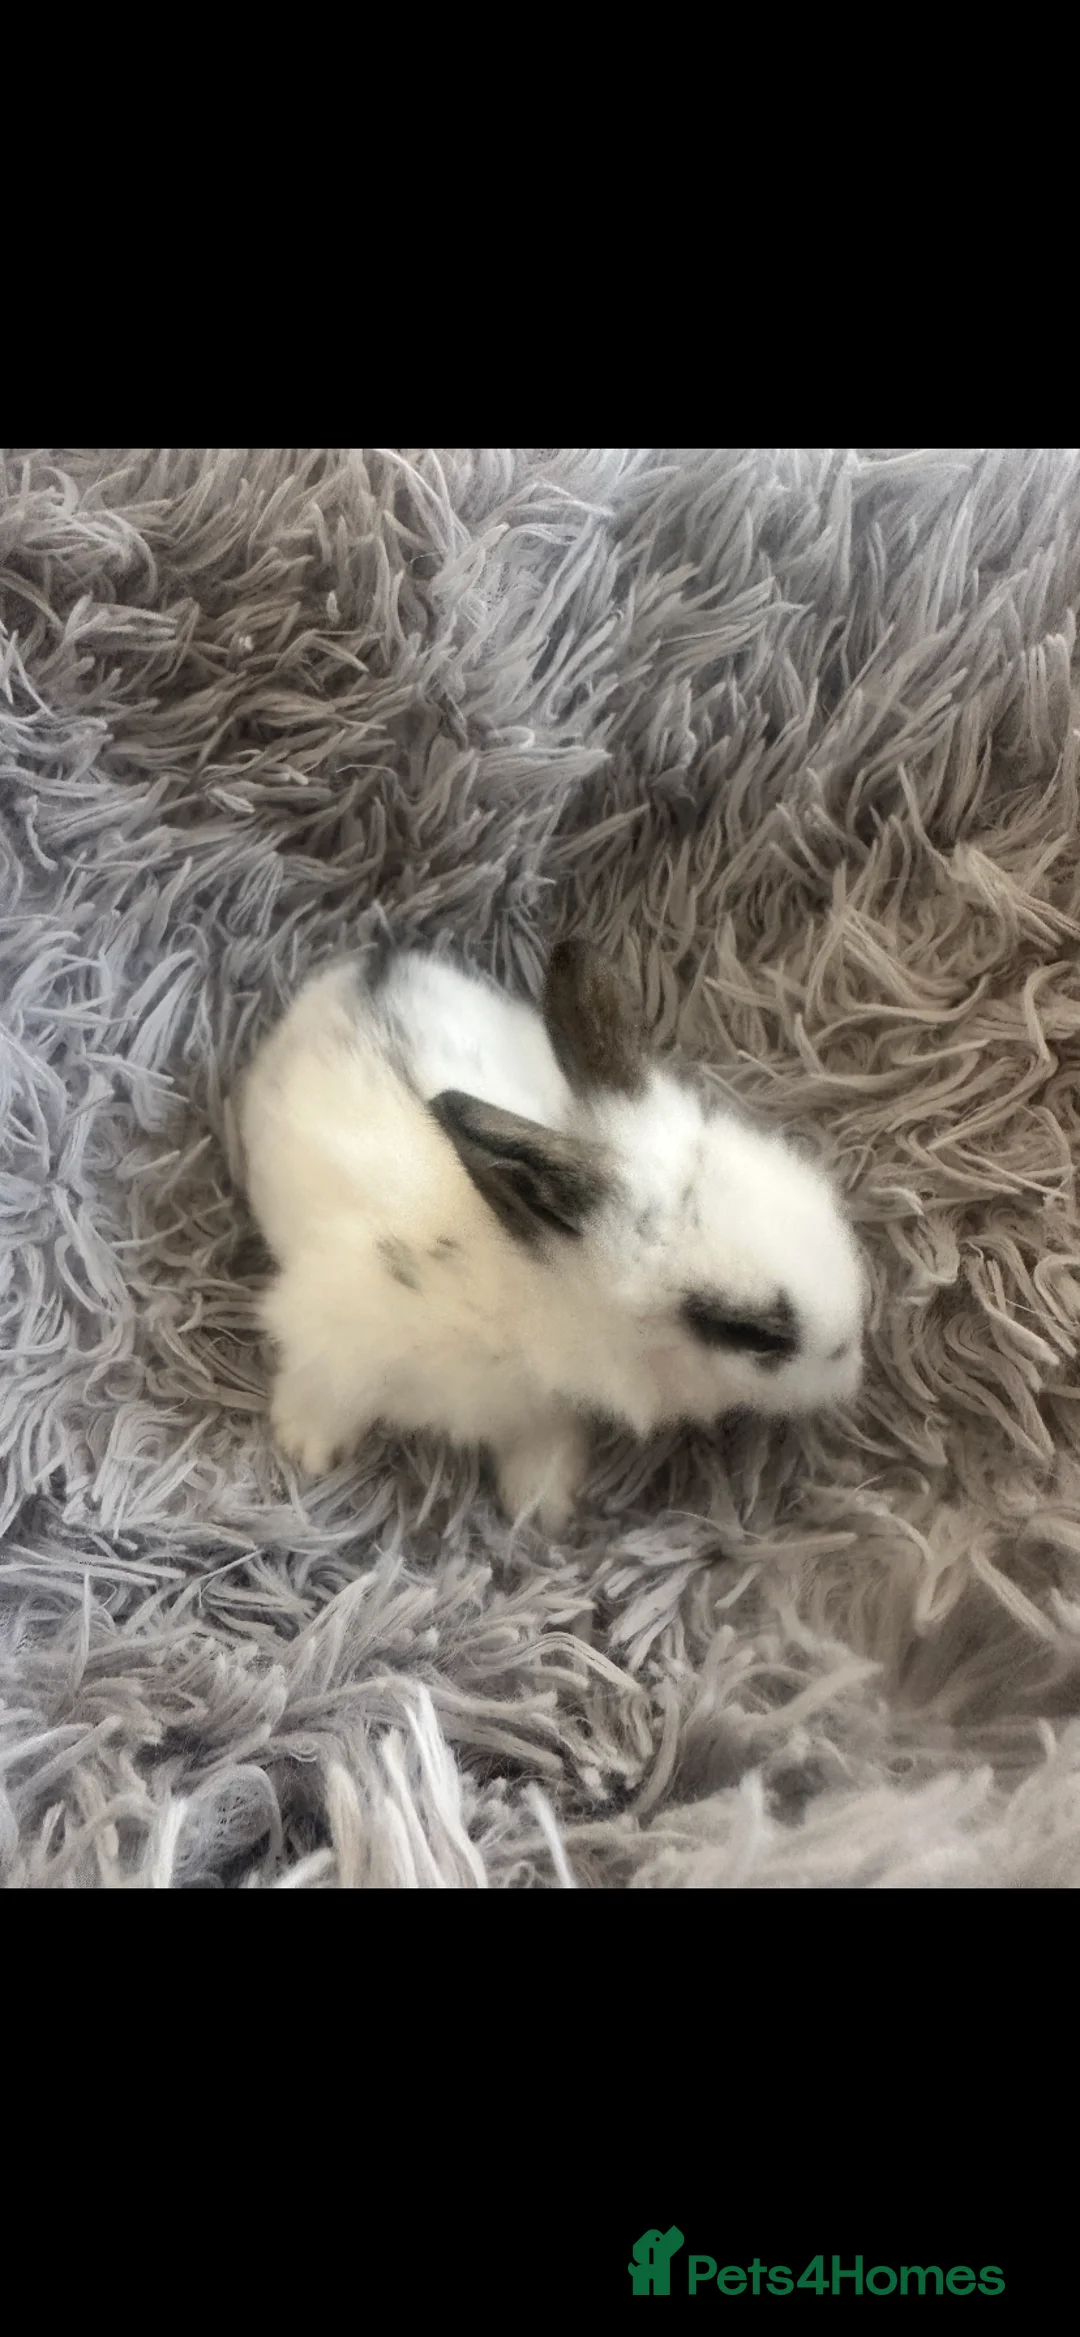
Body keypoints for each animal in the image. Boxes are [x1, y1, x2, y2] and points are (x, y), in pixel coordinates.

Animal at [235, 939, 865, 1532]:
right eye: (748, 1333)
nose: (853, 1366)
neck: (530, 1285)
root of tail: (369, 965)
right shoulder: (336, 1331)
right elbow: (323, 1384)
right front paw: (306, 1446)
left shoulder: (543, 1407)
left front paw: (542, 1509)